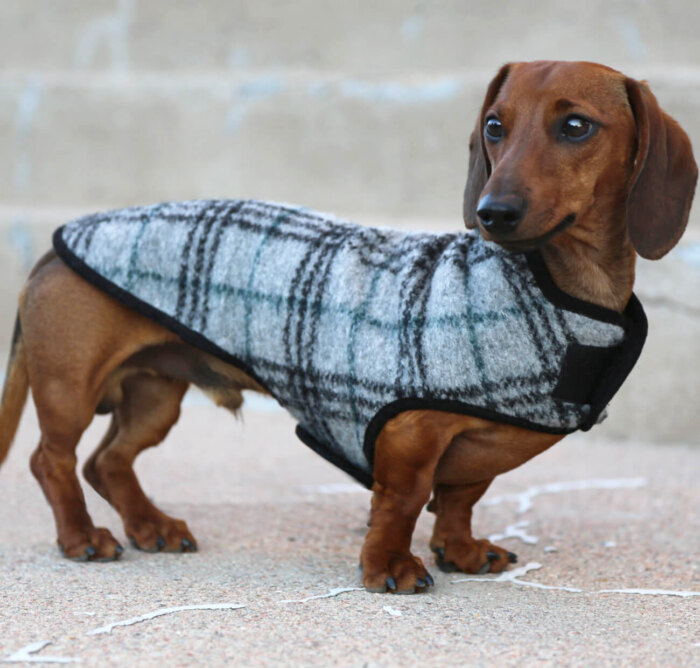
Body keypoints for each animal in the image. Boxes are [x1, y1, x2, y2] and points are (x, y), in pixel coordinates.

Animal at [0, 60, 696, 592]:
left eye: (576, 125)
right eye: (494, 126)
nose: (491, 212)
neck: (552, 288)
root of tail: (56, 245)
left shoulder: (471, 454)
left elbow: (461, 498)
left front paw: (462, 551)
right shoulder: (410, 431)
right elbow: (403, 501)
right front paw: (390, 565)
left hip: (155, 394)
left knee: (108, 461)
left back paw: (152, 526)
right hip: (69, 386)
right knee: (52, 460)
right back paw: (81, 536)